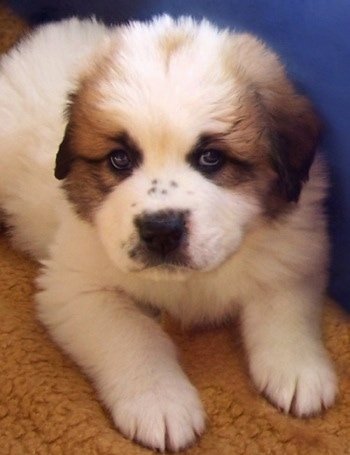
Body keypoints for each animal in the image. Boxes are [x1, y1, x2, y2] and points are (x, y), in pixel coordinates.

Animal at [0, 14, 340, 452]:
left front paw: (298, 370)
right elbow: (131, 333)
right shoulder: (78, 286)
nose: (161, 231)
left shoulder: (294, 248)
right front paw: (159, 402)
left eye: (211, 158)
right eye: (120, 159)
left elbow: (284, 309)